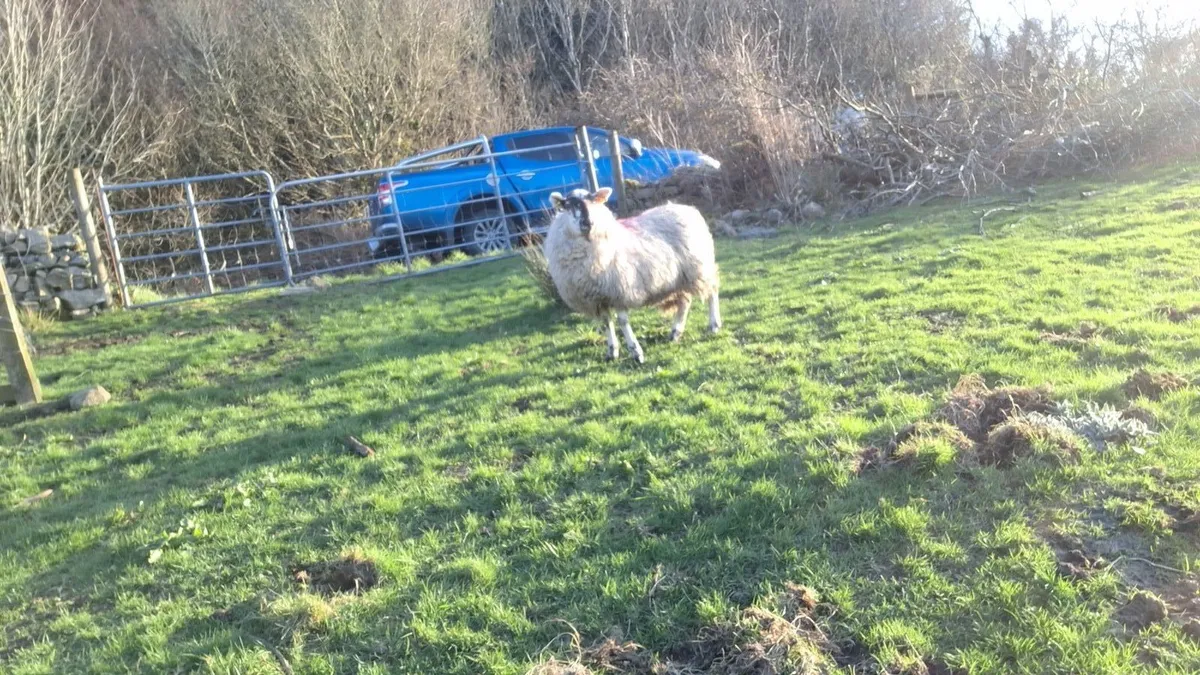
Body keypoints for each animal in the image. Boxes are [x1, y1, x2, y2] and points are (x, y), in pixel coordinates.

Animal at [543, 187, 721, 363]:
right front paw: (612, 351)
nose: (588, 222)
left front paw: (636, 352)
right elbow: (606, 323)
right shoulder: (598, 298)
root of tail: (686, 208)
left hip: (699, 267)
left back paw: (714, 325)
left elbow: (622, 322)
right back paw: (675, 332)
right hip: (679, 278)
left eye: (593, 201)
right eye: (568, 204)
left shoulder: (619, 289)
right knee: (685, 302)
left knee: (712, 291)